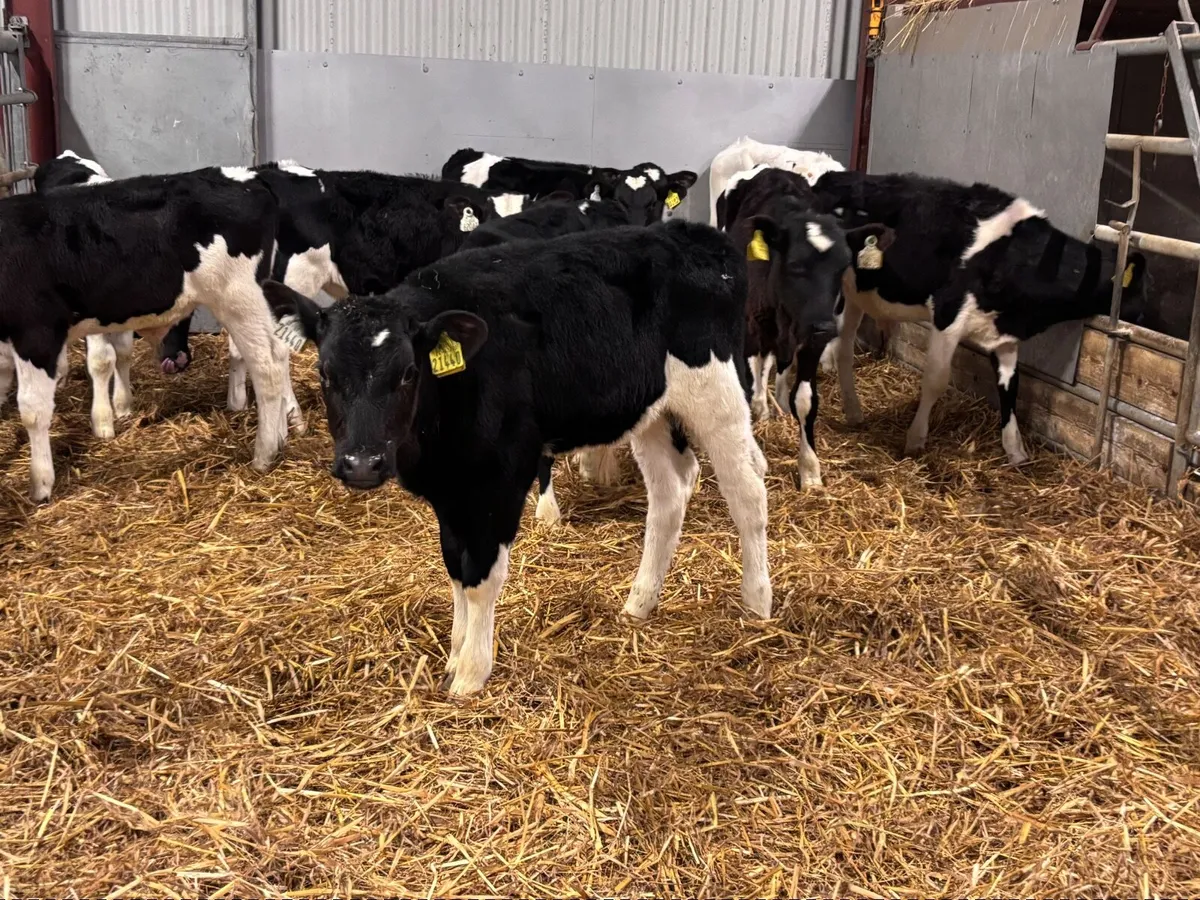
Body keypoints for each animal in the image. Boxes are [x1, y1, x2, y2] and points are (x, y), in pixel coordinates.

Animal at [0, 166, 293, 502]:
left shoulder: (36, 332)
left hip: (239, 298)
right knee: (280, 352)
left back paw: (264, 454)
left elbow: (32, 409)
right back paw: (281, 436)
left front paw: (40, 483)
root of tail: (248, 177)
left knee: (267, 367)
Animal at [261, 218, 772, 696]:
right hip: (651, 412)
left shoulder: (502, 474)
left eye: (407, 372)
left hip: (718, 393)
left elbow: (482, 576)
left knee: (747, 492)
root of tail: (694, 233)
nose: (362, 464)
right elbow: (455, 568)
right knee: (669, 495)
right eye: (325, 373)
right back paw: (640, 602)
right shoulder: (451, 487)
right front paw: (454, 654)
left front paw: (471, 672)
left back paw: (757, 602)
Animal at [719, 166, 893, 489]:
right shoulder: (748, 330)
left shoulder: (811, 342)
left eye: (842, 268)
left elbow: (805, 399)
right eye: (795, 266)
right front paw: (754, 460)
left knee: (772, 363)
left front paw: (810, 471)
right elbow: (745, 389)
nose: (824, 325)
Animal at [812, 170, 1150, 466]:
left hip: (857, 295)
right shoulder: (948, 315)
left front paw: (1016, 452)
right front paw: (915, 440)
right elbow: (935, 380)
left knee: (844, 347)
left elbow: (1011, 386)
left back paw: (853, 411)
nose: (1146, 318)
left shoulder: (1006, 333)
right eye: (1144, 288)